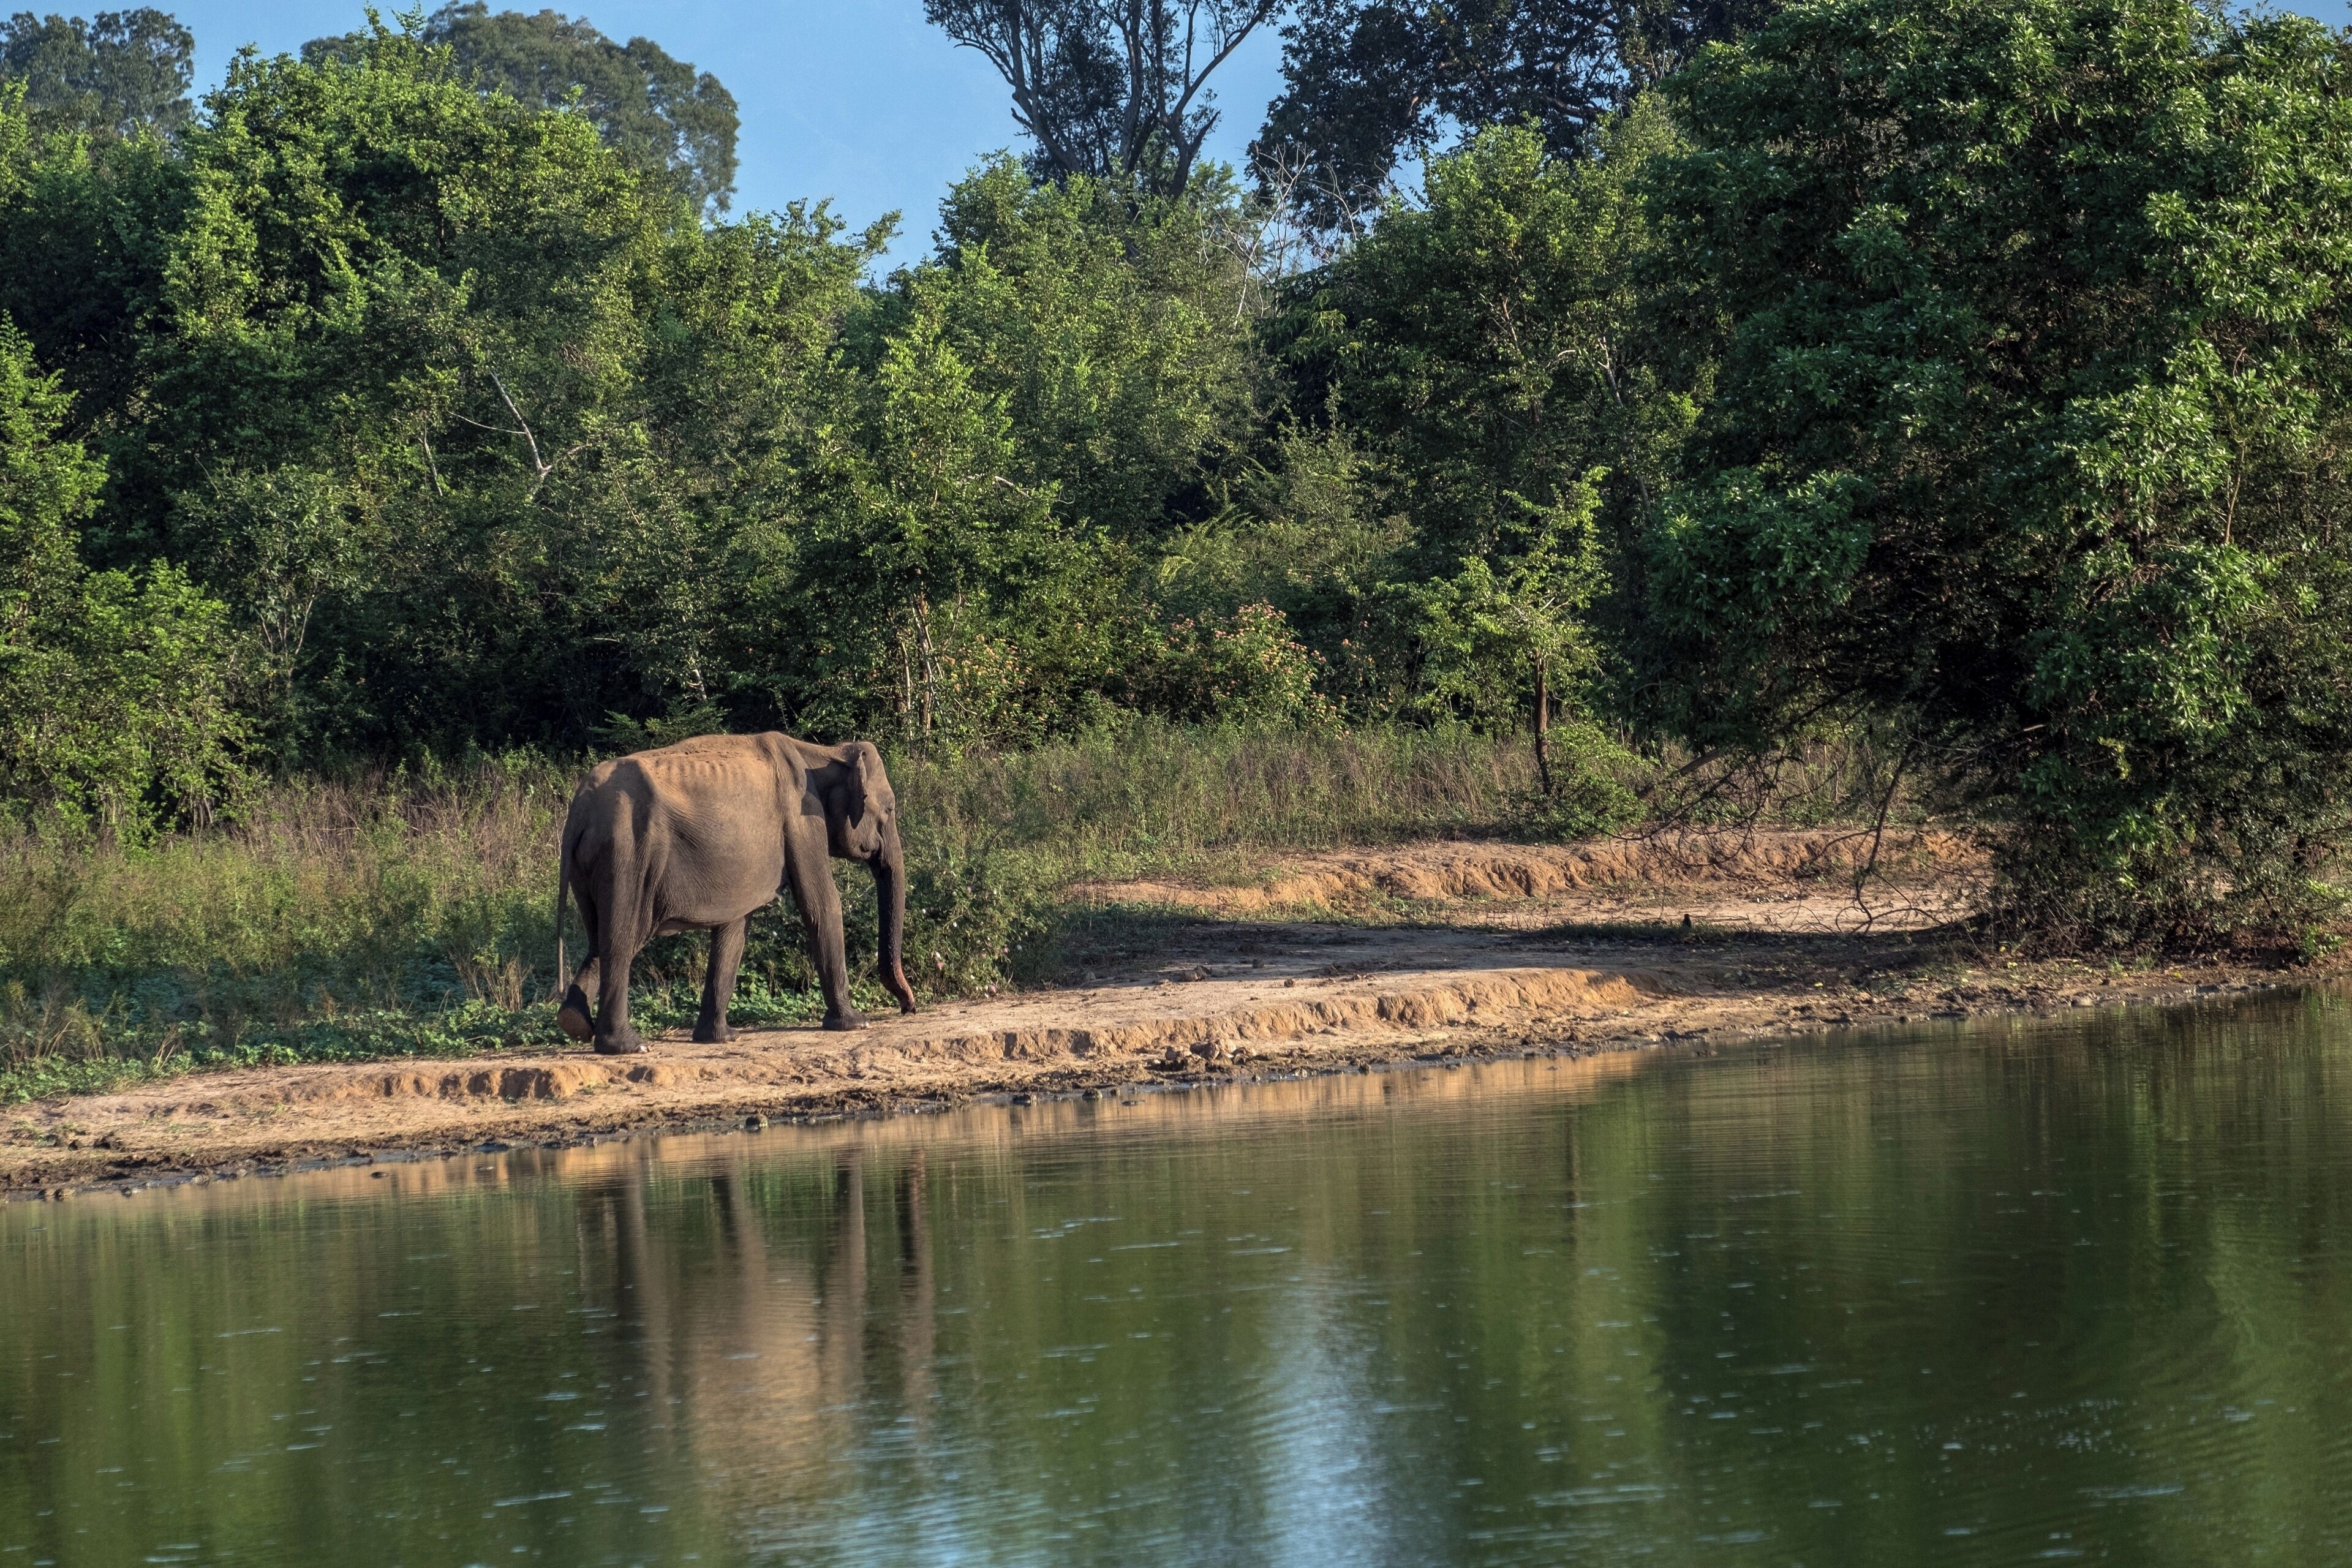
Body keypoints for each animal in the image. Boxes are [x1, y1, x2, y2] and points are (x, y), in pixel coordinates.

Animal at [553, 732, 919, 1054]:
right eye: (889, 810)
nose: (909, 1008)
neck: (823, 751)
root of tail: (579, 809)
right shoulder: (801, 822)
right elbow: (822, 904)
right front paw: (857, 1024)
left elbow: (735, 928)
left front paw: (721, 1039)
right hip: (626, 856)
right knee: (622, 938)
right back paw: (630, 1047)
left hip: (592, 864)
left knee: (599, 938)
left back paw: (575, 1023)